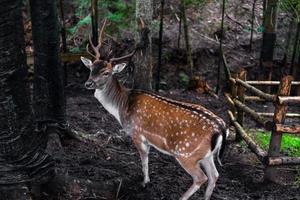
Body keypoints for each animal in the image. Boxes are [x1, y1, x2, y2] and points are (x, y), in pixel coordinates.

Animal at [81, 19, 229, 200]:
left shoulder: (137, 133)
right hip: (206, 155)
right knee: (215, 175)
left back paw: (181, 197)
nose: (88, 83)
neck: (122, 106)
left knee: (201, 177)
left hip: (186, 153)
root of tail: (221, 128)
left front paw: (145, 182)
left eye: (106, 72)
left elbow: (144, 159)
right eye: (91, 68)